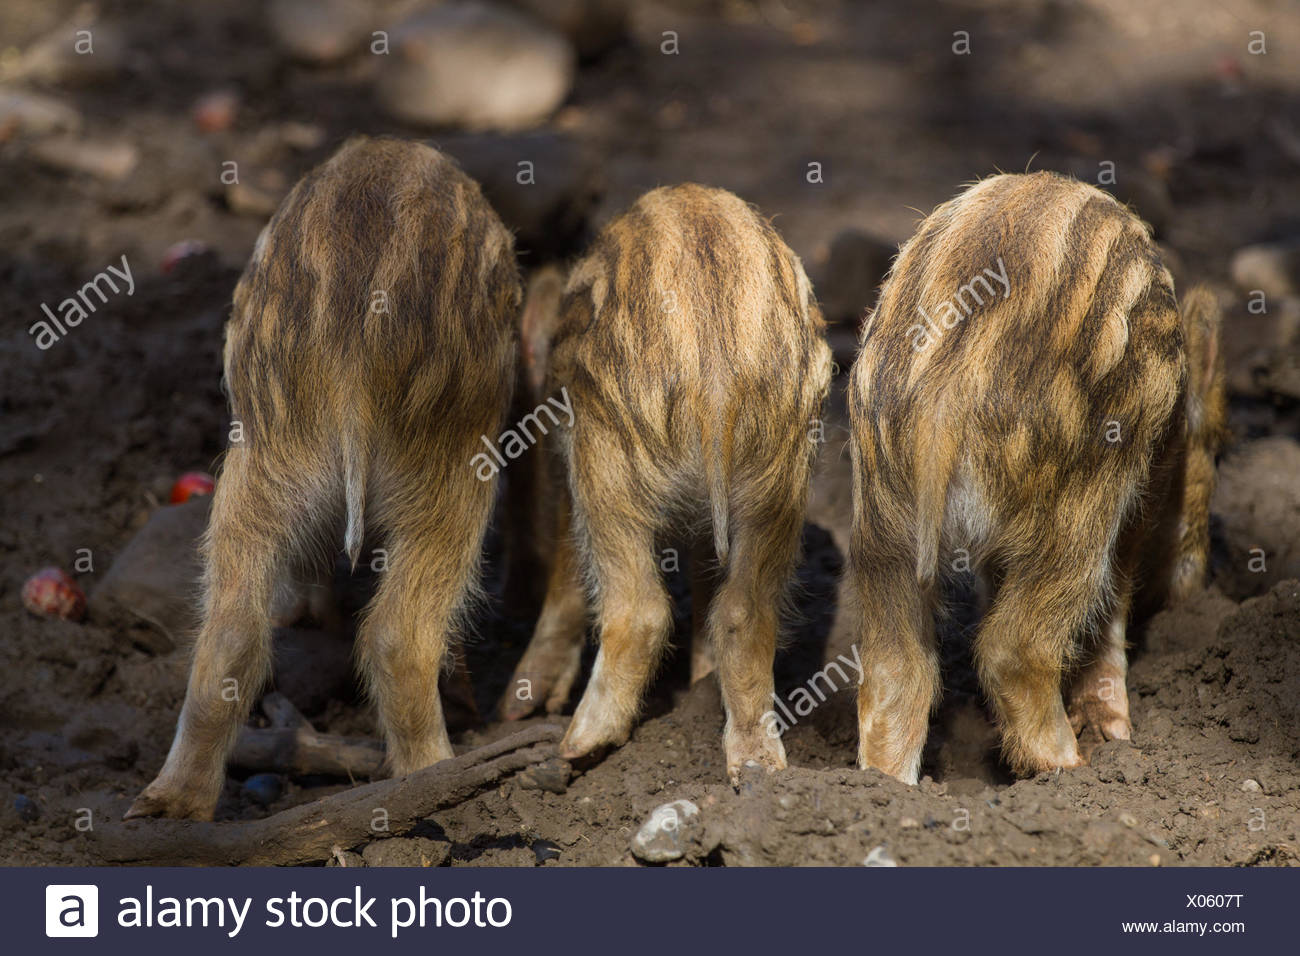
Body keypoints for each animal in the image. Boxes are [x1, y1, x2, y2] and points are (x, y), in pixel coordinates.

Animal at [127, 137, 521, 820]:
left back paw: (171, 807)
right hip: (451, 476)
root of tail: (351, 369)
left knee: (230, 637)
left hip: (259, 469)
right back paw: (441, 779)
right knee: (399, 636)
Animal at [502, 184, 834, 781]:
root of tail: (717, 381)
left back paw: (572, 748)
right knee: (745, 611)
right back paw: (756, 767)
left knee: (640, 610)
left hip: (605, 461)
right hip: (780, 472)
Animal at [847, 171, 1226, 784]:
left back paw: (888, 786)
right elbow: (1110, 611)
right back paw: (1073, 769)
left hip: (881, 506)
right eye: (1217, 453)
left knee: (893, 666)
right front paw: (1114, 735)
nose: (1195, 593)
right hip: (1078, 497)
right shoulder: (1136, 500)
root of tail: (943, 395)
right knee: (1013, 648)